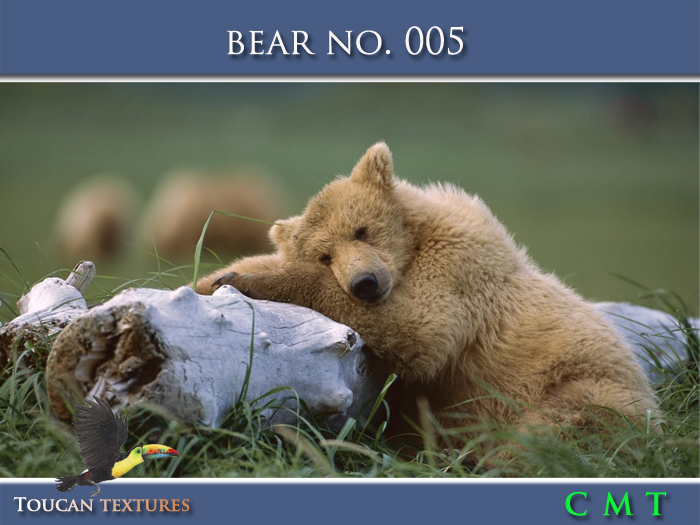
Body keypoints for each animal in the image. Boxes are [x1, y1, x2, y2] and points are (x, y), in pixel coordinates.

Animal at [195, 142, 658, 447]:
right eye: (325, 255)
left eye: (361, 230)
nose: (365, 283)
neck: (415, 242)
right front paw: (216, 277)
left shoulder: (459, 270)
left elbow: (417, 328)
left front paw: (250, 281)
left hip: (585, 383)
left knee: (564, 423)